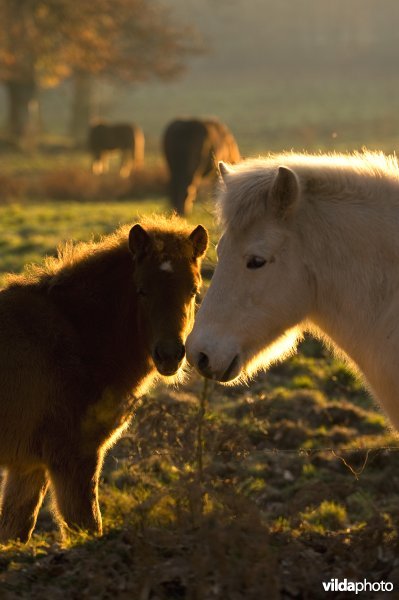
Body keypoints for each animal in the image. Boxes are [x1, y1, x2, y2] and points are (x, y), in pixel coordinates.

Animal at [0, 217, 209, 544]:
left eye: (193, 290)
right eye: (141, 290)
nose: (169, 355)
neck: (77, 334)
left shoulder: (28, 466)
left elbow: (14, 531)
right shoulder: (74, 458)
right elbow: (87, 526)